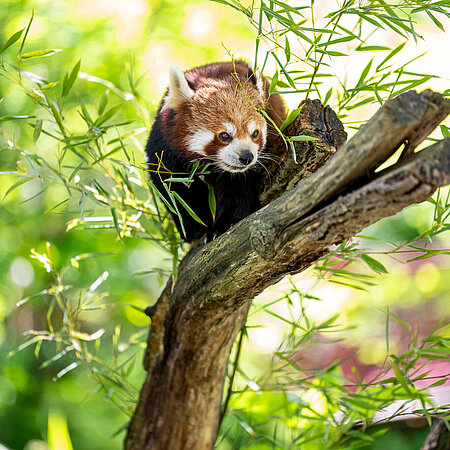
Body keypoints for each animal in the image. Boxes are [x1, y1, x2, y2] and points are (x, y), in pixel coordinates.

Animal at [148, 61, 288, 243]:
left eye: (255, 133)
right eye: (225, 135)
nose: (247, 157)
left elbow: (236, 193)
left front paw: (222, 226)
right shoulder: (165, 149)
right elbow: (172, 190)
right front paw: (193, 227)